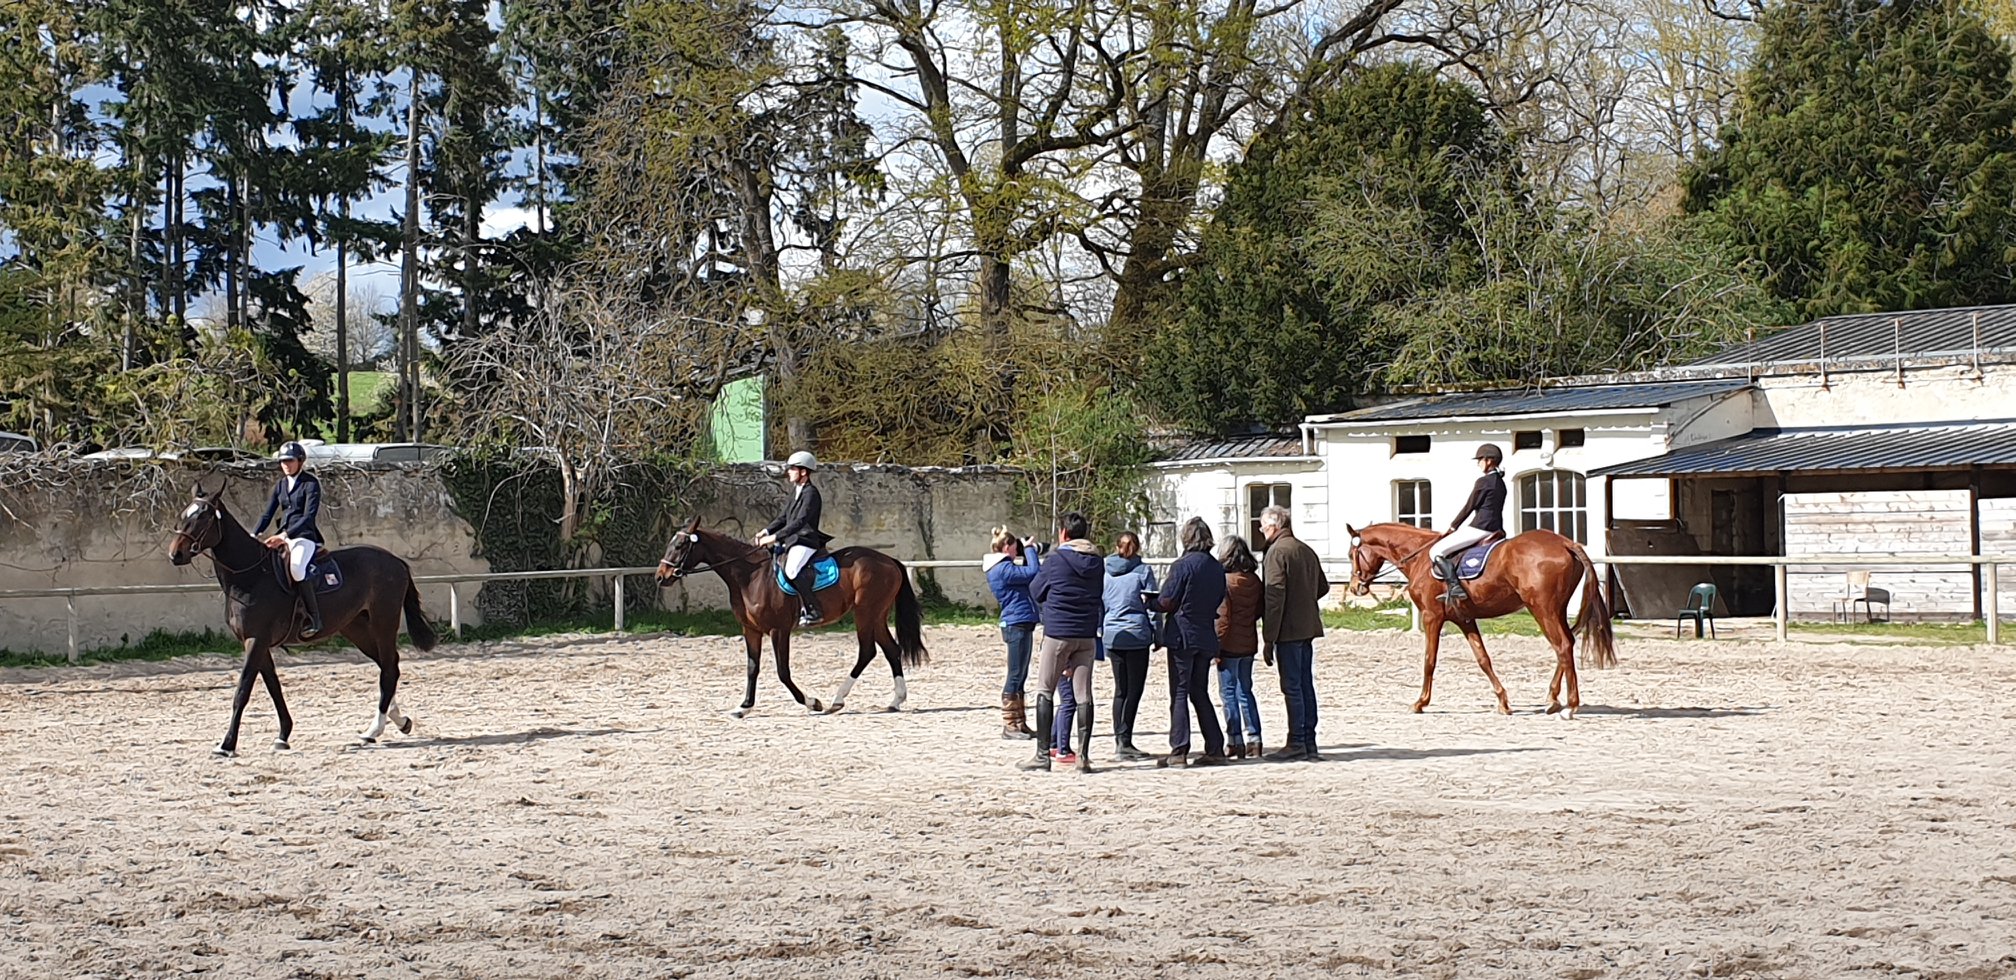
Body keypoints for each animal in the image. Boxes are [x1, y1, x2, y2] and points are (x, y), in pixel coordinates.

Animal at [169, 483, 437, 758]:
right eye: (183, 514)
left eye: (203, 518)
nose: (175, 554)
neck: (250, 576)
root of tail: (396, 561)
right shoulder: (256, 642)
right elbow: (274, 687)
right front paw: (282, 736)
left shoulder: (256, 640)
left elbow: (242, 690)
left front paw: (226, 745)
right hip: (356, 628)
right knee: (387, 666)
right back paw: (398, 721)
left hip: (384, 622)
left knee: (389, 668)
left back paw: (374, 729)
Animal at [653, 520, 927, 717]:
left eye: (680, 546)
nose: (660, 576)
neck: (749, 576)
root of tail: (888, 560)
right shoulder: (750, 630)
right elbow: (752, 668)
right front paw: (743, 707)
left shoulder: (779, 630)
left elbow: (782, 672)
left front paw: (813, 703)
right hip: (876, 615)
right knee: (891, 650)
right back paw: (895, 701)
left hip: (865, 613)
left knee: (867, 651)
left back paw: (837, 700)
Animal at [1346, 524, 1612, 717]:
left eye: (1351, 554)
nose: (1355, 587)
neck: (1419, 557)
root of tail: (1566, 542)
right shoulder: (1465, 619)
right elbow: (1483, 659)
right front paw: (1503, 702)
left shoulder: (1432, 616)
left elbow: (1429, 660)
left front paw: (1420, 702)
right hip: (1556, 609)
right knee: (1566, 645)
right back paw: (1552, 700)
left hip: (1542, 609)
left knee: (1562, 646)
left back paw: (1570, 706)